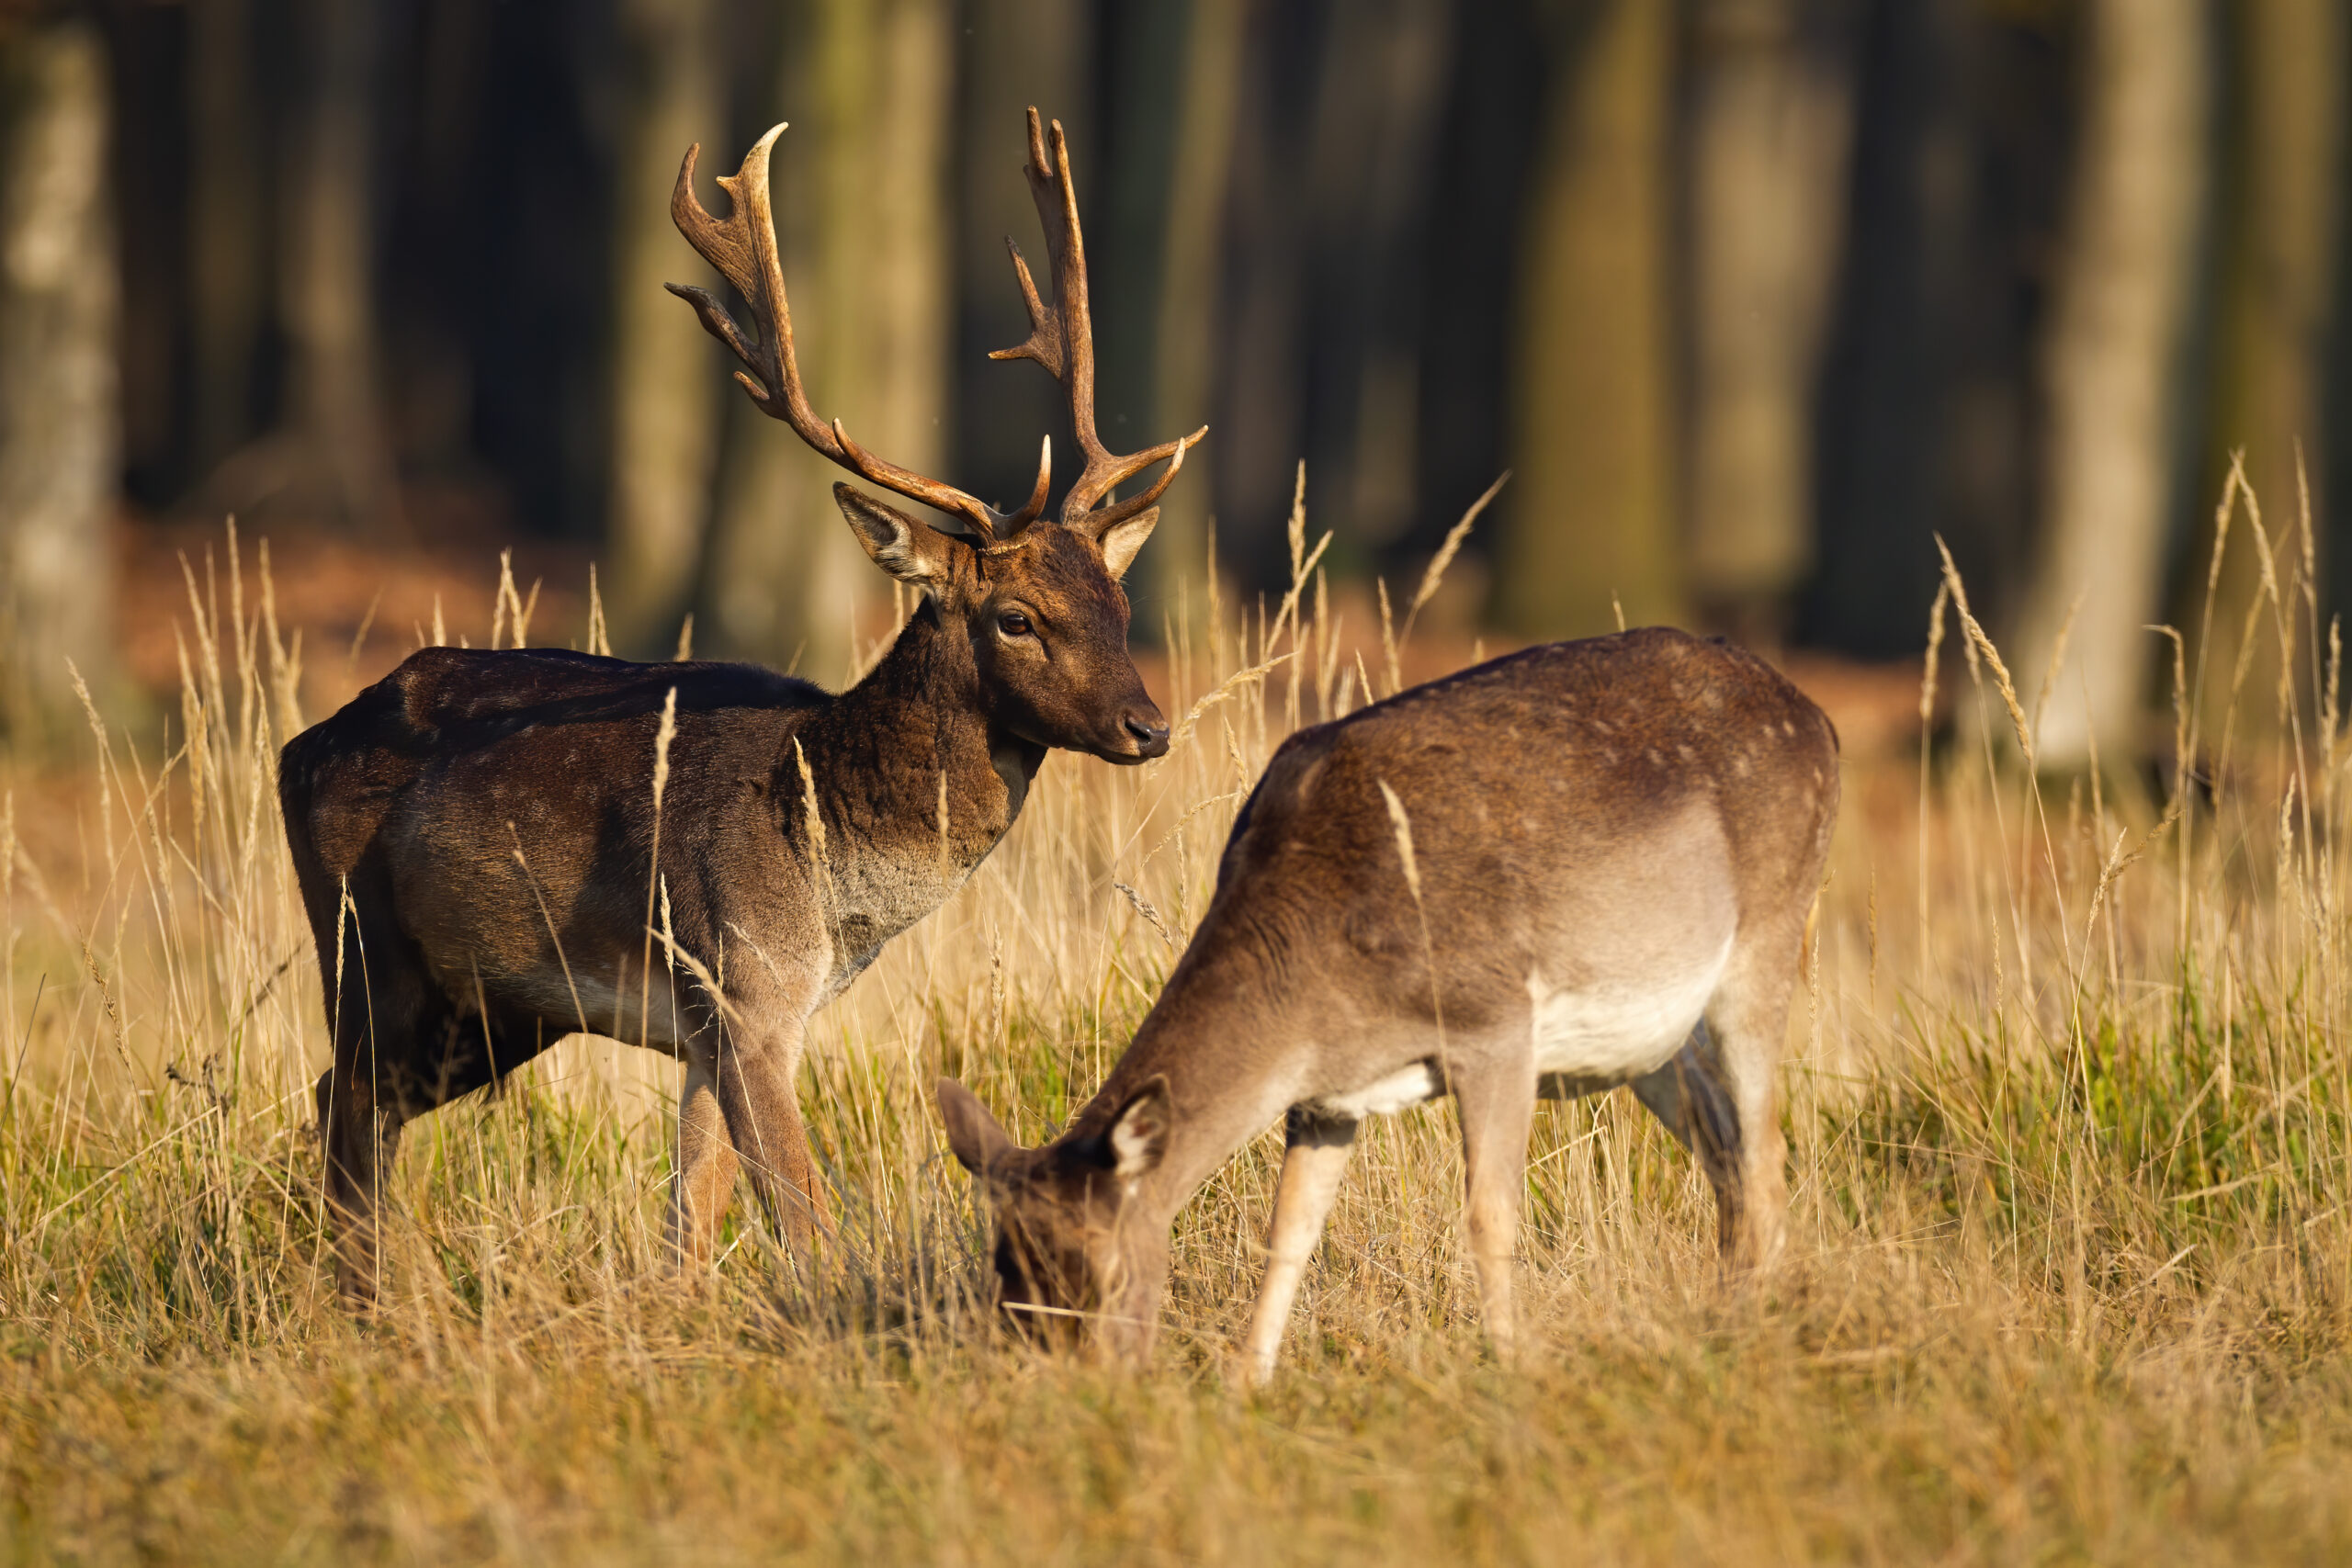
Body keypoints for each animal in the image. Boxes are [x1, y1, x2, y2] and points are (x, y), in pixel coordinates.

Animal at [277, 110, 1204, 1306]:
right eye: (1015, 617)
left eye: (1117, 602)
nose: (1149, 725)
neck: (830, 868)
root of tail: (302, 746)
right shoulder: (742, 982)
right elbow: (803, 1222)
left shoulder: (725, 1020)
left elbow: (693, 1213)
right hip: (364, 946)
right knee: (347, 1112)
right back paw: (368, 1300)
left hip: (486, 1009)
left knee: (343, 1109)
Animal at [935, 629, 1834, 1382]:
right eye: (1003, 1279)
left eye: (1107, 1271)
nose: (1076, 1392)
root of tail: (1818, 720)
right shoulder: (1325, 1094)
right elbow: (1290, 1230)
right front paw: (1245, 1386)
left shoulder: (1495, 1019)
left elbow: (1489, 1215)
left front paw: (1513, 1373)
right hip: (1649, 1040)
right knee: (1724, 1148)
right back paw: (1726, 1317)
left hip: (1770, 930)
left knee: (1767, 1147)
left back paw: (1758, 1335)